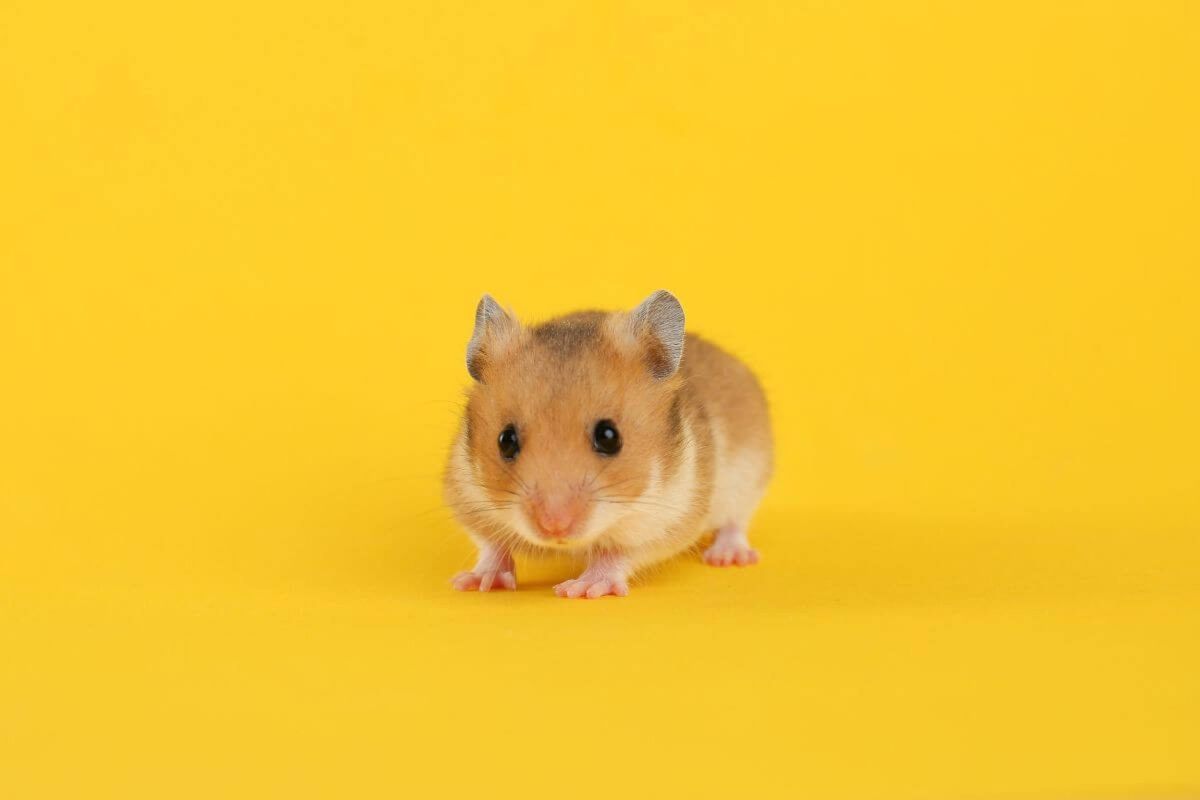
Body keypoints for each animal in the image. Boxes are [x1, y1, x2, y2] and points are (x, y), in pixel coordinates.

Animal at [443, 290, 773, 598]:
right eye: (506, 441)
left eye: (609, 437)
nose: (554, 527)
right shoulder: (468, 497)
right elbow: (491, 545)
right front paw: (473, 582)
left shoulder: (666, 518)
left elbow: (616, 553)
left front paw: (579, 589)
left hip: (748, 478)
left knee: (735, 522)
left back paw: (728, 557)